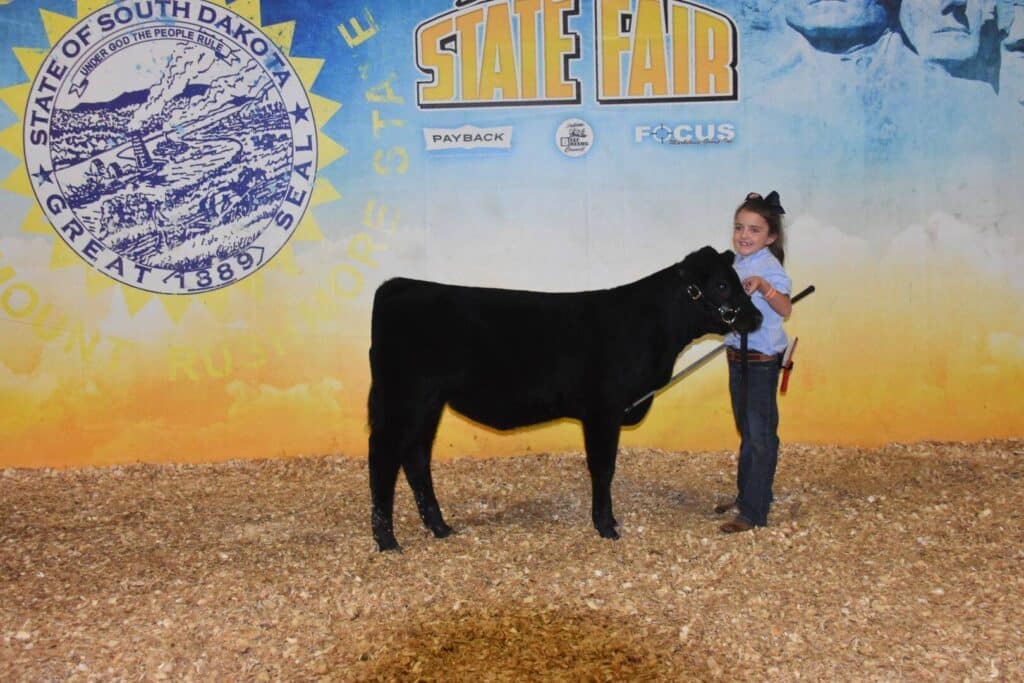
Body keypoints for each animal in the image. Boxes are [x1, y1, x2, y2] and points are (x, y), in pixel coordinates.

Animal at [367, 246, 762, 551]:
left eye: (738, 280)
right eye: (722, 284)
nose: (756, 316)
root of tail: (399, 285)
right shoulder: (603, 410)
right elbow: (603, 468)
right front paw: (606, 526)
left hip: (428, 402)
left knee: (416, 457)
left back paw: (439, 527)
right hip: (404, 398)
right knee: (384, 457)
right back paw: (387, 540)